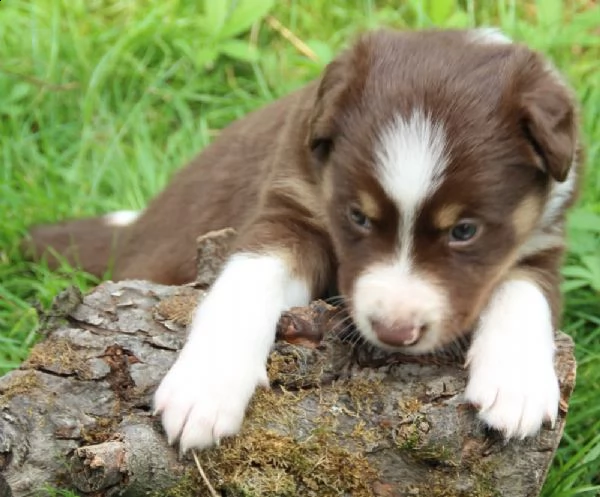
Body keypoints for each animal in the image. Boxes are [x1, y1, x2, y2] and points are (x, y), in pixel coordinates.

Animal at [25, 28, 580, 454]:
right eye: (356, 216)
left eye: (465, 230)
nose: (394, 331)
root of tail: (137, 226)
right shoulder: (288, 210)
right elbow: (245, 282)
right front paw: (205, 387)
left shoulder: (541, 244)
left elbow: (523, 296)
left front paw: (518, 385)